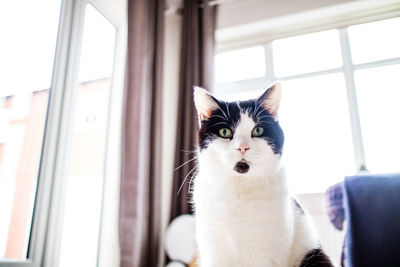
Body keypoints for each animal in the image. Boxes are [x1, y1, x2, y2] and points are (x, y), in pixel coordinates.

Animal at [192, 82, 332, 267]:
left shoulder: (266, 251)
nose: (242, 147)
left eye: (257, 130)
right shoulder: (215, 250)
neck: (239, 189)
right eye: (225, 132)